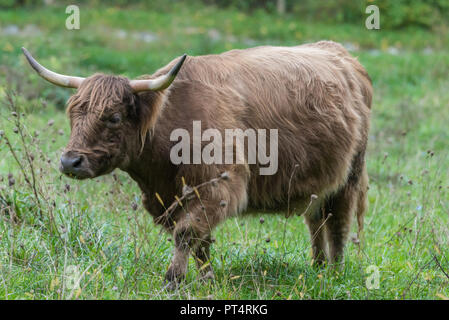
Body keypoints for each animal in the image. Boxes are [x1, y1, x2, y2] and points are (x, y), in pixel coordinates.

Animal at [21, 41, 372, 288]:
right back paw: (318, 268)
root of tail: (342, 55)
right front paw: (206, 280)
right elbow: (200, 240)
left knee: (338, 224)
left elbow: (187, 232)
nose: (70, 161)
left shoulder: (220, 186)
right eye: (72, 114)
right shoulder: (172, 197)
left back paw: (334, 274)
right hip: (317, 184)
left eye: (114, 117)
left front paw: (172, 280)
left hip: (349, 177)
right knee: (316, 222)